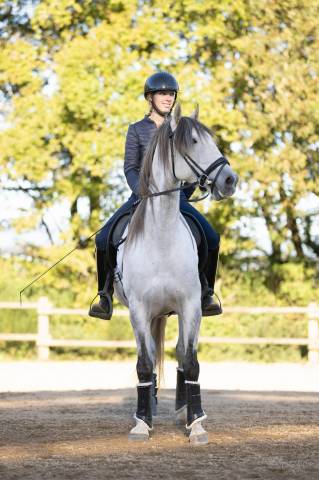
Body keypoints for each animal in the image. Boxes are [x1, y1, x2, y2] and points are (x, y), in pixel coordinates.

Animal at [114, 104, 238, 442]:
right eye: (193, 141)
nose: (230, 180)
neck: (161, 237)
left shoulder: (191, 306)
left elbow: (190, 361)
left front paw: (196, 423)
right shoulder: (139, 311)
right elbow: (144, 364)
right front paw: (142, 422)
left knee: (182, 353)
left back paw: (183, 409)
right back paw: (150, 405)